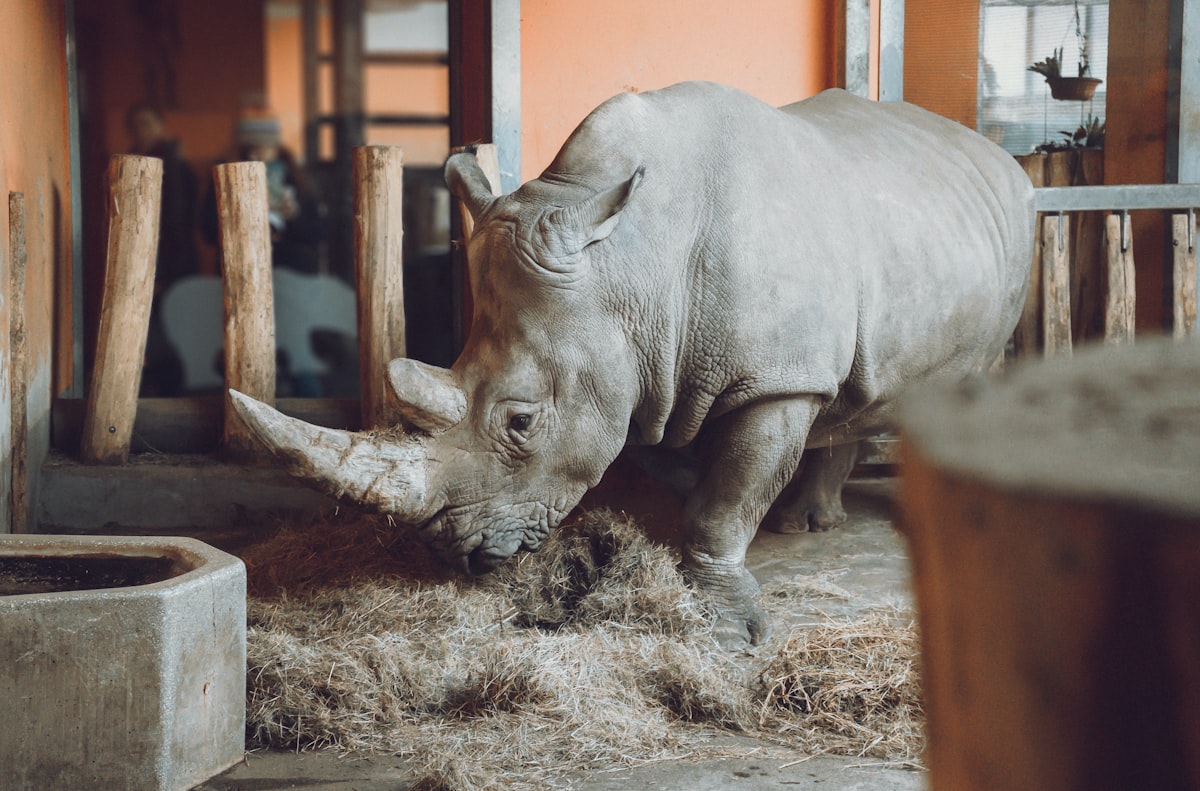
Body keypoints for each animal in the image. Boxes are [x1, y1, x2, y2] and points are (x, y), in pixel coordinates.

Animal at [231, 81, 1034, 648]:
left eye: (521, 421)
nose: (458, 556)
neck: (632, 266)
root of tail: (994, 153)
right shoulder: (650, 372)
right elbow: (677, 470)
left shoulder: (774, 380)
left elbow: (724, 500)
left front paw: (725, 630)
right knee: (855, 388)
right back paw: (806, 525)